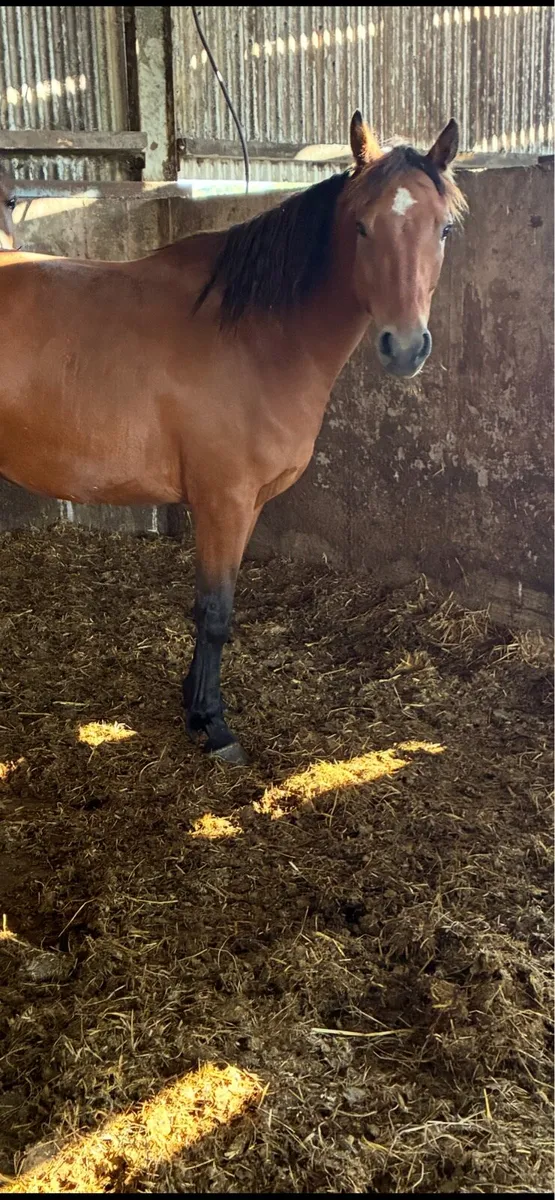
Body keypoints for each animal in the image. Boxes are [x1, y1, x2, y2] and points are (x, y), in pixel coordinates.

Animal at [0, 112, 466, 764]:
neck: (255, 335)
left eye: (443, 229)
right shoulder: (223, 501)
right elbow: (216, 612)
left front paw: (194, 706)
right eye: (361, 227)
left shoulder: (246, 507)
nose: (404, 348)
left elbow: (213, 608)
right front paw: (214, 726)